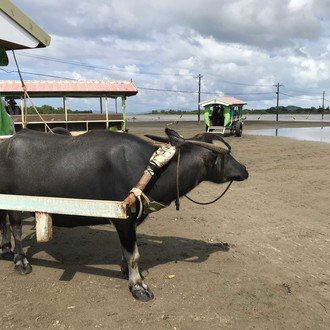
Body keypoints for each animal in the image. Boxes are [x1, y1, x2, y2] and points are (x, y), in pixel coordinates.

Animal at [0, 128, 248, 302]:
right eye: (226, 157)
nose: (244, 170)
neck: (150, 170)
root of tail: (6, 144)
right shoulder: (125, 219)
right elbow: (134, 255)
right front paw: (138, 286)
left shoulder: (130, 221)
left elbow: (127, 251)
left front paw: (125, 270)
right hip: (14, 203)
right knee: (16, 229)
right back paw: (20, 261)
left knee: (4, 225)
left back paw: (6, 250)